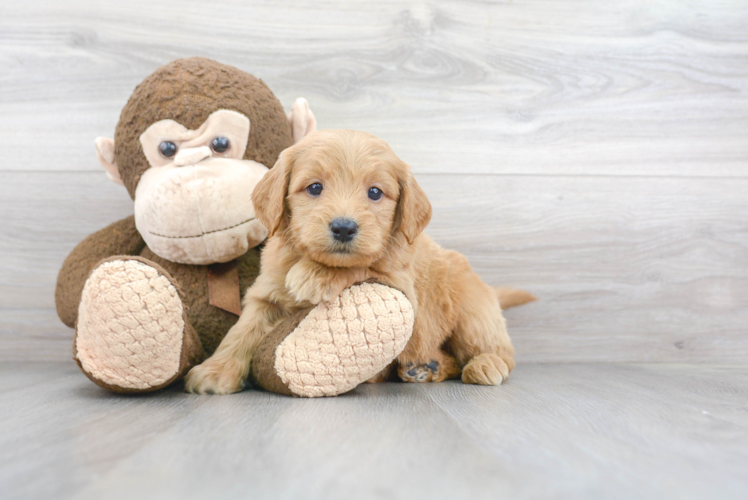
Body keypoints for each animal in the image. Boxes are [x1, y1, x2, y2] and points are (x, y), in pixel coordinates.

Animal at [186, 129, 516, 394]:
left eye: (375, 192)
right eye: (315, 187)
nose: (344, 227)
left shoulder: (400, 285)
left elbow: (362, 265)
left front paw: (316, 275)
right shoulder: (266, 293)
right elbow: (241, 331)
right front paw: (215, 371)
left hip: (473, 314)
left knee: (499, 350)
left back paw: (484, 364)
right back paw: (424, 368)